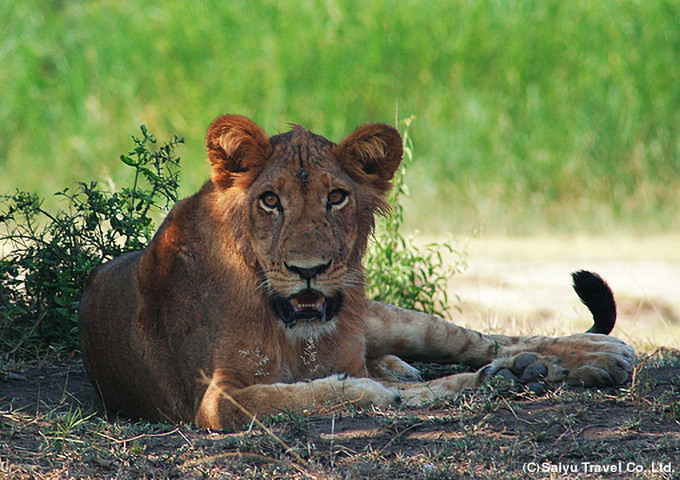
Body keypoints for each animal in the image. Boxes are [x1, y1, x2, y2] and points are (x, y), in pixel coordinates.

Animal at [79, 114, 636, 430]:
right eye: (270, 201)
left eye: (336, 197)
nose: (309, 270)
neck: (294, 331)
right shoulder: (210, 399)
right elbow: (291, 396)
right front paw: (373, 391)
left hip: (388, 318)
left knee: (486, 341)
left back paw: (595, 356)